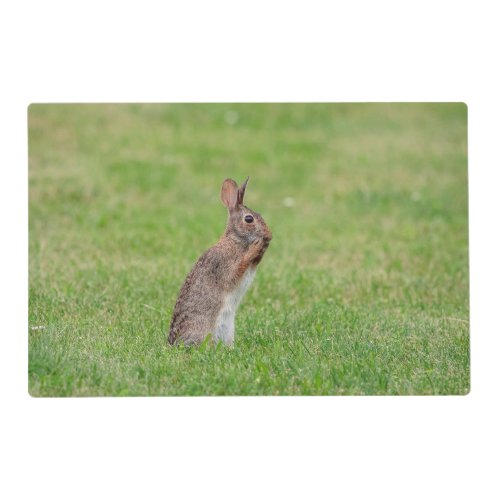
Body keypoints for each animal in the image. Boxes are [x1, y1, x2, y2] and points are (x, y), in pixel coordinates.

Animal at [168, 178, 272, 346]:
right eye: (249, 219)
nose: (269, 235)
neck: (235, 240)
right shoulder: (225, 265)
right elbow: (238, 269)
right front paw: (256, 246)